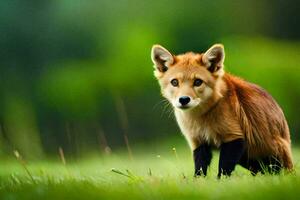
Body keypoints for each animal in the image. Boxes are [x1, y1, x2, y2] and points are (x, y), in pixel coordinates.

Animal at [150, 43, 292, 177]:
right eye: (174, 82)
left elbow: (223, 169)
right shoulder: (198, 142)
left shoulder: (234, 137)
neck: (202, 118)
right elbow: (200, 169)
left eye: (198, 82)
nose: (184, 99)